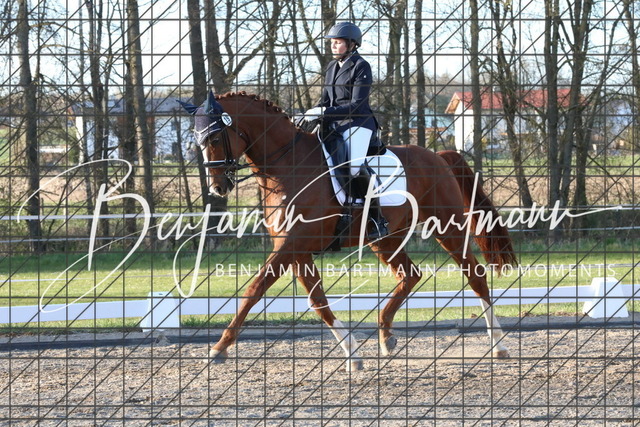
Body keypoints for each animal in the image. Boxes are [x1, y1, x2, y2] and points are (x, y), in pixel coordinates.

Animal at [179, 90, 517, 371]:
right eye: (196, 139)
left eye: (214, 138)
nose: (218, 188)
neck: (286, 164)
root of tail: (438, 156)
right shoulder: (295, 248)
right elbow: (318, 301)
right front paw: (353, 354)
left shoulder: (291, 245)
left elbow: (253, 291)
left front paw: (219, 348)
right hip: (386, 239)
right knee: (410, 275)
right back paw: (386, 336)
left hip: (447, 227)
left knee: (475, 275)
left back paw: (500, 345)